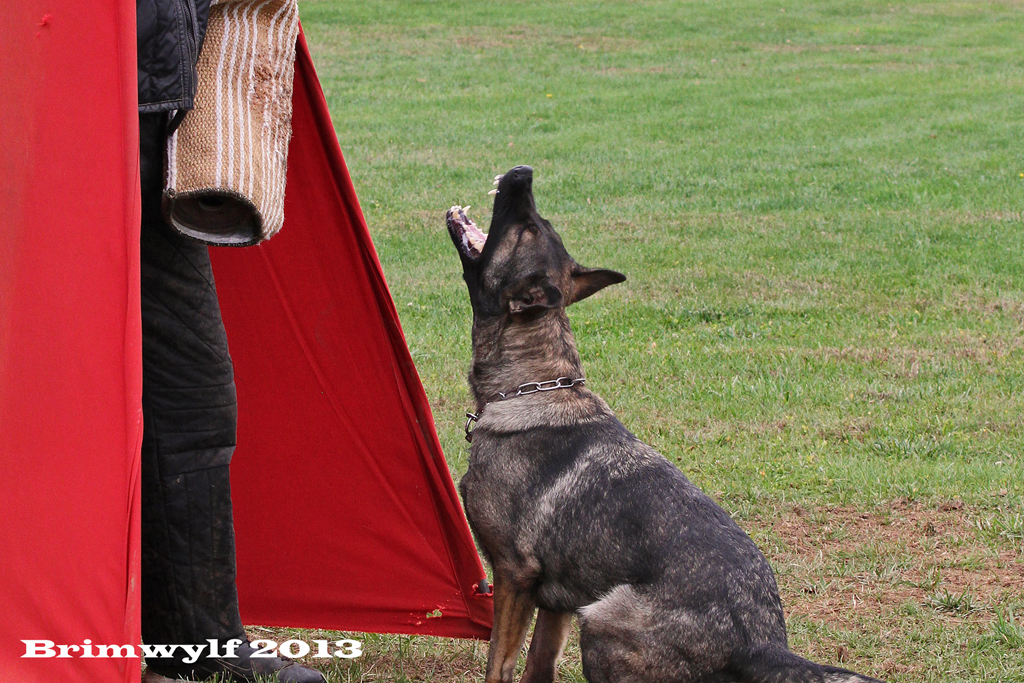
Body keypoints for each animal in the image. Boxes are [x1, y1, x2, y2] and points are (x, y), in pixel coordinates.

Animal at [444, 166, 884, 683]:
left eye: (528, 227)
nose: (523, 173)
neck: (534, 385)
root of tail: (760, 643)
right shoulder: (557, 604)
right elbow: (538, 666)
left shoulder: (514, 577)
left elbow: (500, 664)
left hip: (601, 619)